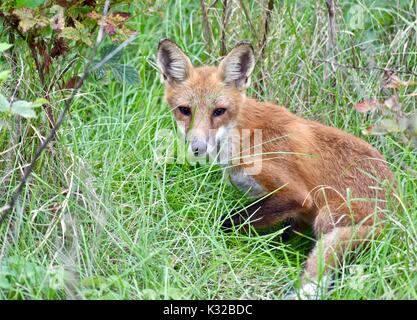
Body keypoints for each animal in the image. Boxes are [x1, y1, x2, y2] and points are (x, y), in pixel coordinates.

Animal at [156, 38, 394, 298]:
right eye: (184, 110)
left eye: (219, 111)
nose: (197, 148)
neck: (242, 134)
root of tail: (395, 217)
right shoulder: (290, 211)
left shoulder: (297, 195)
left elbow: (229, 220)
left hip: (327, 215)